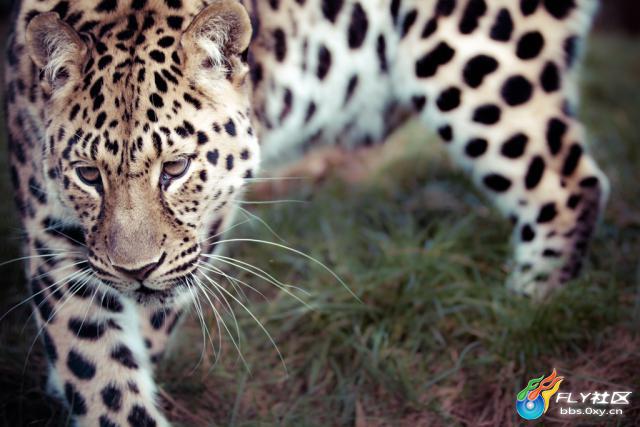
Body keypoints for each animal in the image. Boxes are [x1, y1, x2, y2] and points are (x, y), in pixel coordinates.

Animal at [3, 0, 609, 425]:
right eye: (88, 175)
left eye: (175, 168)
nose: (135, 271)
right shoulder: (54, 237)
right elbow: (97, 366)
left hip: (480, 59)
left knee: (569, 184)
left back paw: (529, 317)